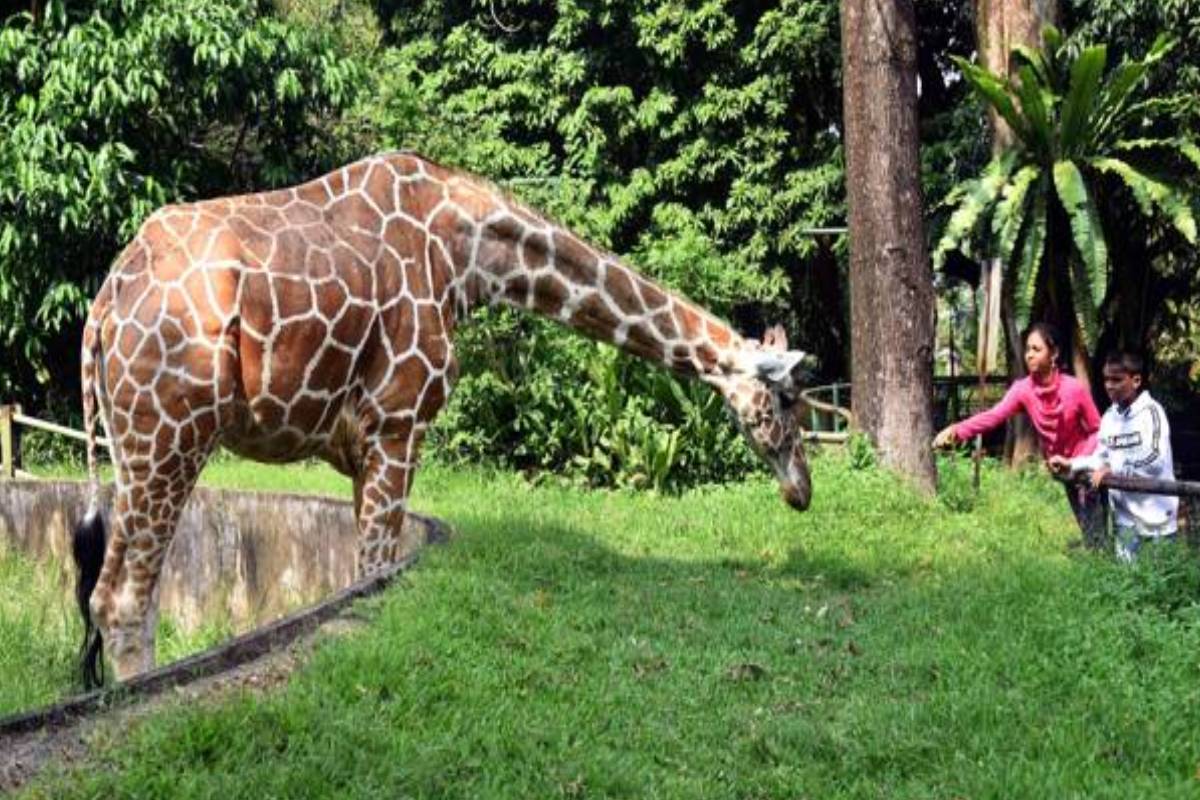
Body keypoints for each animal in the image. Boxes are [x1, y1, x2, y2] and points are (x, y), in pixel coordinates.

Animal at [71, 152, 814, 687]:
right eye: (788, 400)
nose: (802, 491)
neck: (468, 254)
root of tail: (105, 305)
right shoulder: (399, 423)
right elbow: (372, 577)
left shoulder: (363, 445)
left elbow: (365, 572)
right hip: (168, 435)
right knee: (122, 601)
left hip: (137, 443)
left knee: (131, 594)